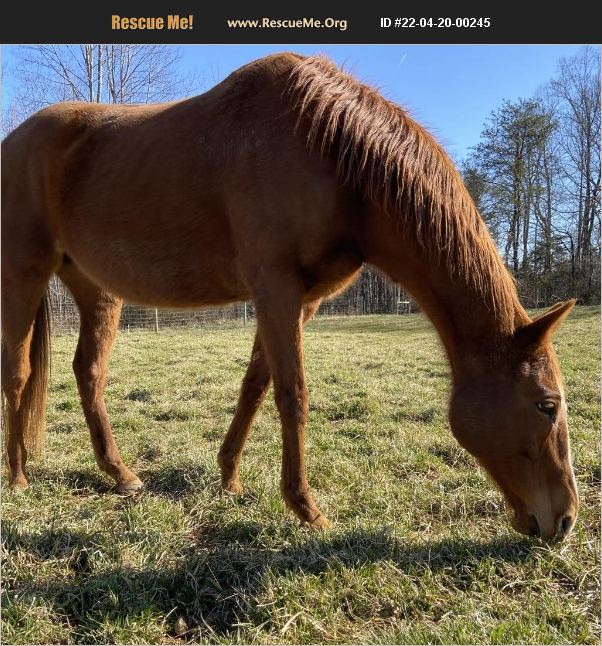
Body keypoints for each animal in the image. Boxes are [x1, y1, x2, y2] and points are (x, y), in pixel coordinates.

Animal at [1, 52, 578, 541]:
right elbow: (292, 393)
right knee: (19, 374)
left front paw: (230, 477)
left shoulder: (303, 299)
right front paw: (306, 508)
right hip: (24, 275)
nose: (566, 519)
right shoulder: (275, 287)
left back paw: (119, 474)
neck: (330, 157)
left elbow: (255, 386)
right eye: (546, 405)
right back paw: (18, 476)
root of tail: (16, 140)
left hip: (96, 289)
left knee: (88, 372)